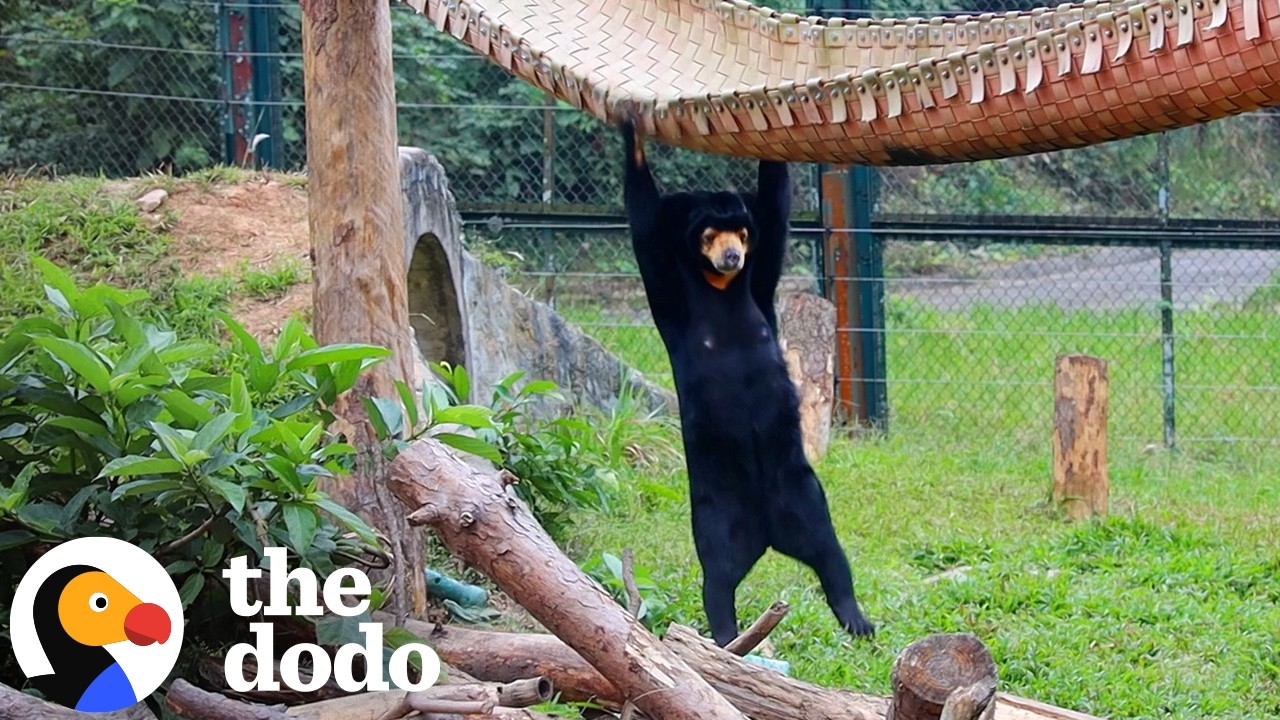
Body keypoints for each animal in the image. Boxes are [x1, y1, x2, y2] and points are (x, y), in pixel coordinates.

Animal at [619, 121, 876, 646]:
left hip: (801, 491)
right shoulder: (667, 287)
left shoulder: (760, 280)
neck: (720, 286)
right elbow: (644, 222)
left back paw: (854, 618)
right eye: (711, 233)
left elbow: (776, 207)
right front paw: (629, 128)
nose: (733, 255)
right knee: (717, 572)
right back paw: (724, 635)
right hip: (719, 507)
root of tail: (767, 533)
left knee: (828, 550)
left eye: (739, 231)